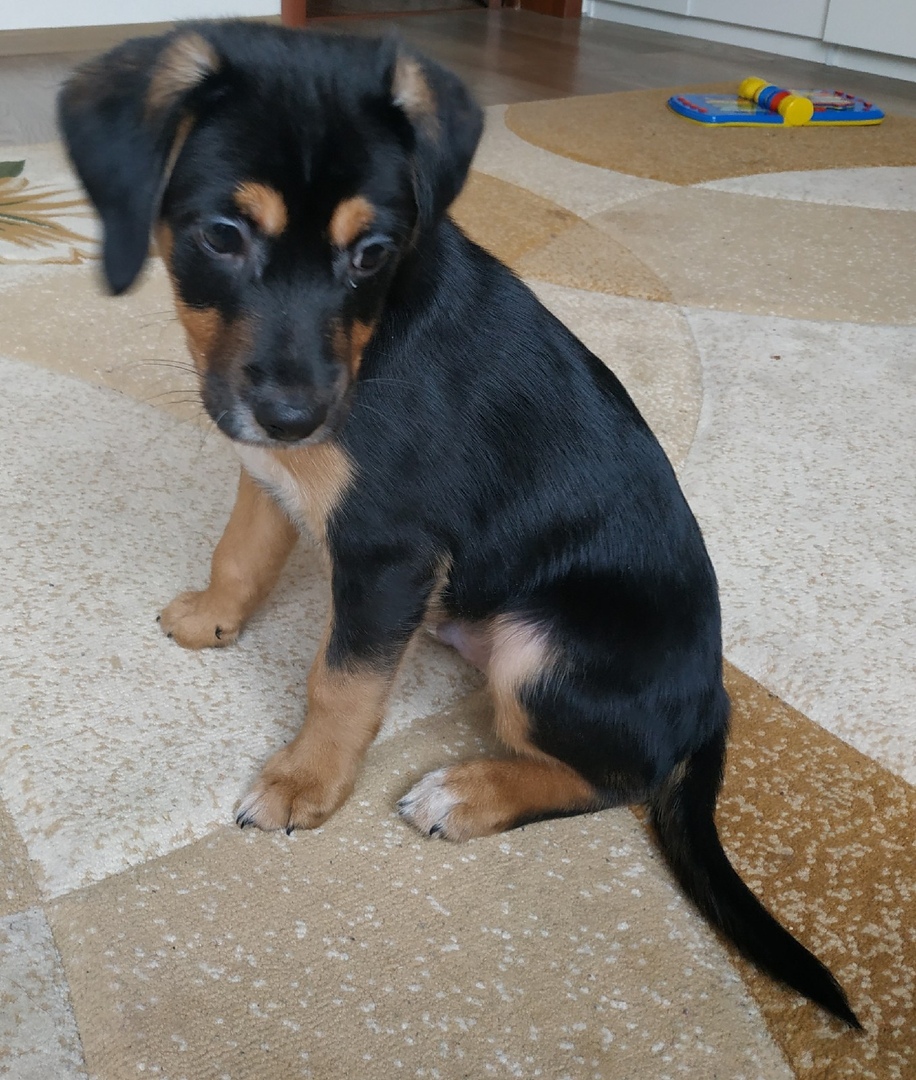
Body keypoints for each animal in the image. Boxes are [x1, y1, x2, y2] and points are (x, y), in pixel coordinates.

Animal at [58, 20, 859, 1028]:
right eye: (222, 235)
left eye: (372, 252)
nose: (292, 414)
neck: (371, 343)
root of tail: (713, 694)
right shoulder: (271, 476)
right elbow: (240, 552)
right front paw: (210, 614)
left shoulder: (388, 551)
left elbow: (341, 681)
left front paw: (304, 782)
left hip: (542, 648)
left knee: (618, 776)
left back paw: (467, 792)